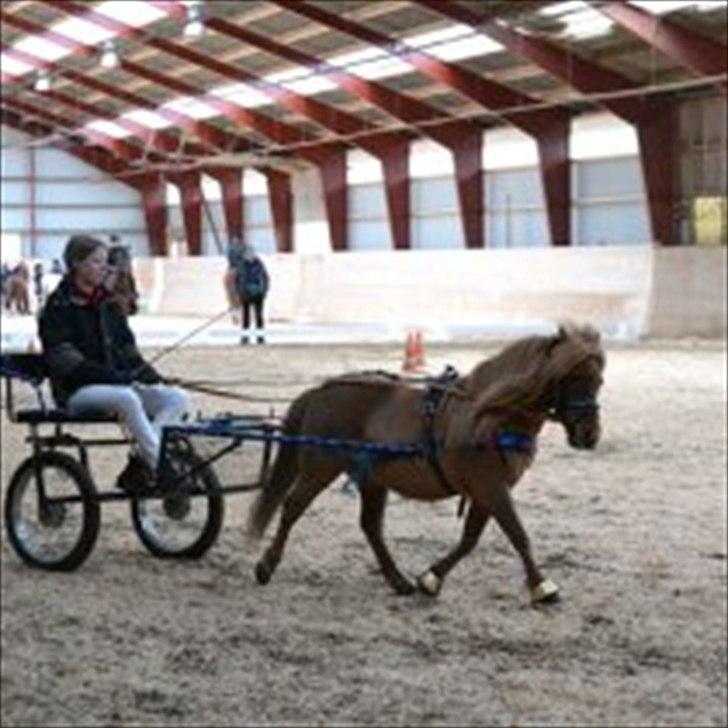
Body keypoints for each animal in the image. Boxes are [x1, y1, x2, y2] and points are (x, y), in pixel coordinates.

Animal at [247, 323, 605, 603]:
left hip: (373, 479)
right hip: (321, 467)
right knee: (293, 507)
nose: (589, 435)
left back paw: (398, 580)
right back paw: (266, 565)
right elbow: (517, 534)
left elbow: (470, 539)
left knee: (370, 526)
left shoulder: (487, 491)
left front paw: (431, 578)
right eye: (568, 377)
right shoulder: (491, 487)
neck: (490, 415)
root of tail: (321, 390)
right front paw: (542, 586)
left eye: (599, 380)